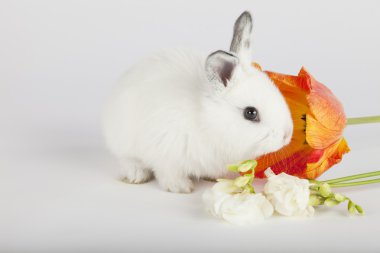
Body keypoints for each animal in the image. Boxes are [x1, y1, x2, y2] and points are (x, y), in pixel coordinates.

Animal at [102, 11, 292, 193]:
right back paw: (136, 175)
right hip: (123, 141)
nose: (286, 135)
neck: (207, 122)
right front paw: (180, 187)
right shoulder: (166, 153)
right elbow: (168, 173)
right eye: (250, 113)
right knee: (128, 160)